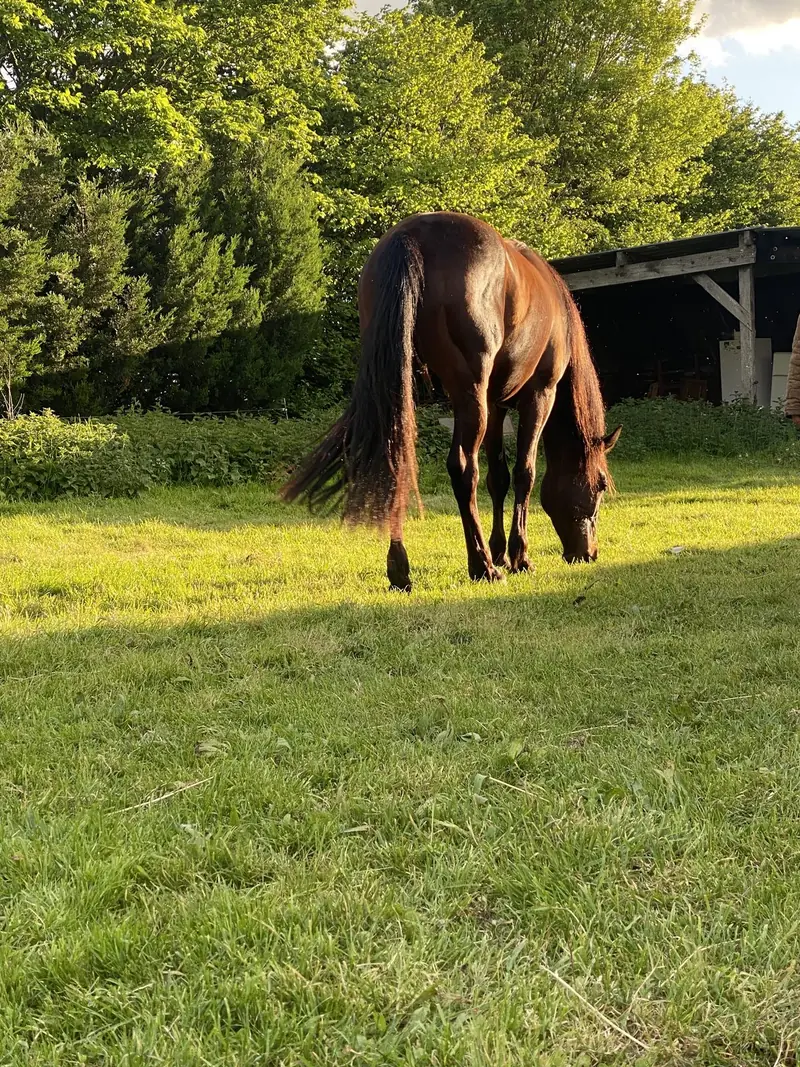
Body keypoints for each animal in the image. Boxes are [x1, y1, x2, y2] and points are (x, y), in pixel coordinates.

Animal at [282, 211, 621, 592]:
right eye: (600, 485)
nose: (588, 553)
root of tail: (412, 235)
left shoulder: (496, 404)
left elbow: (499, 478)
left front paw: (500, 551)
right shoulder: (538, 395)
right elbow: (524, 473)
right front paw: (517, 557)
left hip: (406, 388)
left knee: (398, 458)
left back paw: (401, 570)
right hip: (469, 395)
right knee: (463, 468)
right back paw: (482, 566)